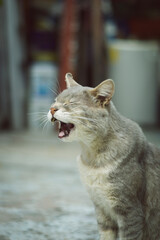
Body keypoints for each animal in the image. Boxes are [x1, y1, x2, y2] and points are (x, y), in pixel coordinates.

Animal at [47, 73, 160, 240]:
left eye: (71, 103)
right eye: (55, 101)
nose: (52, 109)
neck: (92, 158)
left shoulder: (130, 211)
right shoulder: (101, 208)